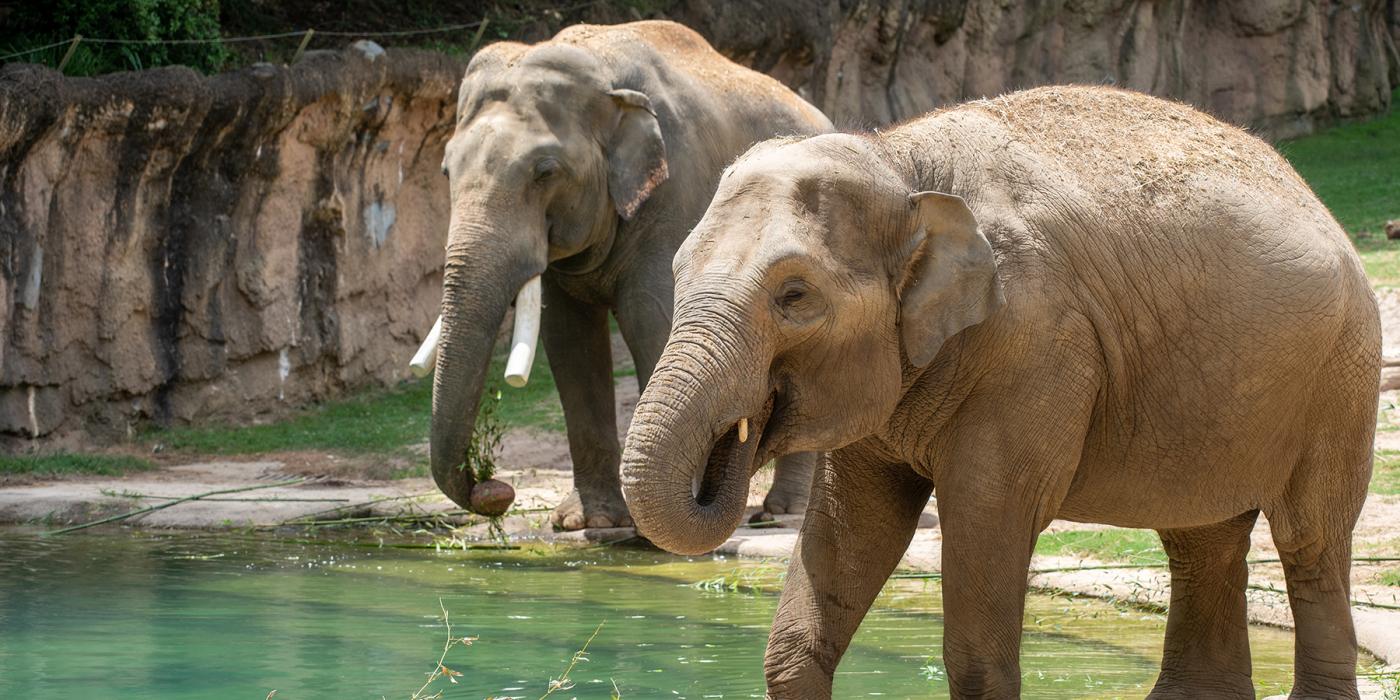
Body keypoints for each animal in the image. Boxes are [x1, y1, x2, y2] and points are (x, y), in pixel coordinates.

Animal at [414, 23, 828, 529]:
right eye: (445, 170)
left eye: (545, 171)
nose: (496, 490)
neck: (601, 72)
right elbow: (568, 339)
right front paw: (588, 522)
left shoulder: (675, 194)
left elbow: (649, 317)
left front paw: (661, 524)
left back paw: (780, 513)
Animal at [621, 87, 1377, 700]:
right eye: (679, 270)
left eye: (795, 297)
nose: (736, 451)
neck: (899, 163)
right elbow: (851, 525)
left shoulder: (1037, 342)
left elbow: (988, 520)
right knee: (1201, 538)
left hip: (1342, 375)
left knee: (1310, 539)